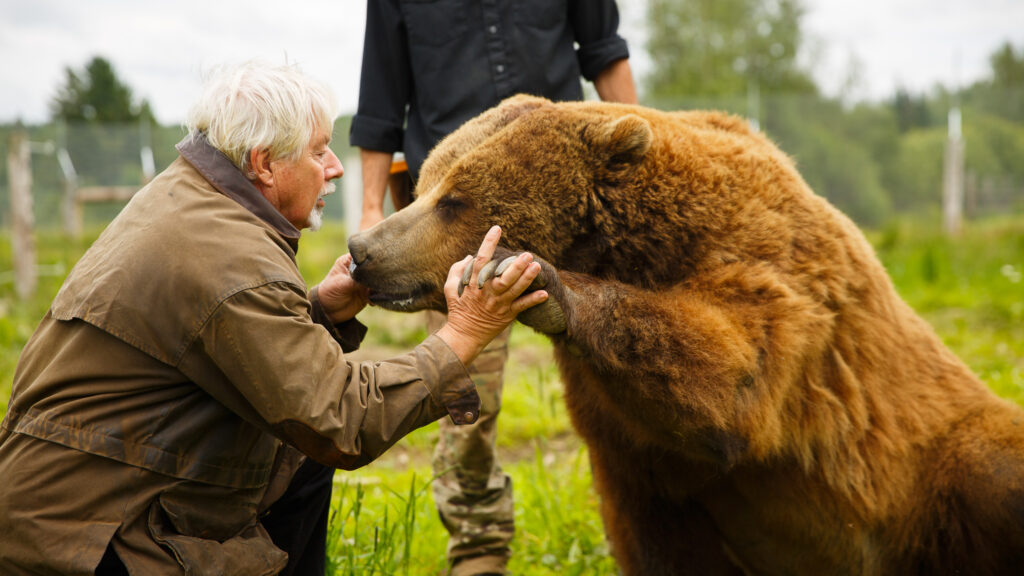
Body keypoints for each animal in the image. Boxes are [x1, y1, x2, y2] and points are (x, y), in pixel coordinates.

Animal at [346, 94, 1024, 575]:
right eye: (423, 183)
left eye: (454, 199)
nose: (363, 250)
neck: (640, 248)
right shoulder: (630, 446)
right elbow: (661, 526)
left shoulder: (766, 268)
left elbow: (732, 380)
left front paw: (529, 273)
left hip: (925, 470)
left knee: (991, 470)